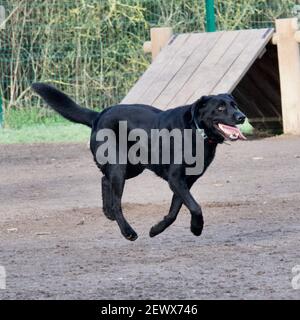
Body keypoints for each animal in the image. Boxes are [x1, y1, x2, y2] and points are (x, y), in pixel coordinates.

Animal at [31, 82, 245, 240]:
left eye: (235, 105)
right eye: (220, 107)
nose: (242, 117)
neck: (196, 130)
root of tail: (99, 115)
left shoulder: (186, 181)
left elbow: (175, 211)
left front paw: (157, 229)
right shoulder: (176, 179)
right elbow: (195, 206)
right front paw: (197, 227)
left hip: (133, 167)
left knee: (104, 180)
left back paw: (107, 212)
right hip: (119, 168)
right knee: (117, 202)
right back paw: (127, 231)